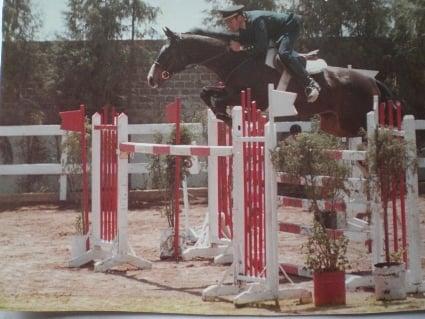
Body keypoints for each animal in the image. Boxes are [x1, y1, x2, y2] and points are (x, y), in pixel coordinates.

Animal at [147, 27, 390, 138]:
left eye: (166, 53)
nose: (151, 78)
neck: (236, 59)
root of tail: (371, 80)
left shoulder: (246, 96)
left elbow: (215, 98)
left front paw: (229, 118)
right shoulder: (229, 89)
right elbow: (205, 92)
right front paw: (226, 117)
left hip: (356, 120)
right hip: (336, 124)